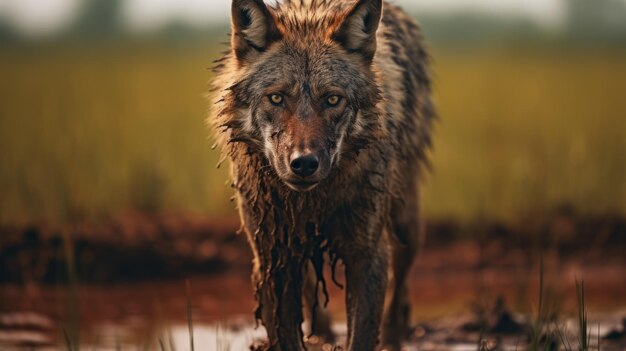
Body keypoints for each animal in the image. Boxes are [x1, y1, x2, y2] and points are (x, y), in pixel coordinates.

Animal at [207, 0, 432, 350]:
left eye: (333, 99)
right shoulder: (271, 256)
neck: (313, 202)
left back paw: (393, 335)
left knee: (401, 285)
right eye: (276, 98)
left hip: (405, 224)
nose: (304, 163)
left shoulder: (367, 253)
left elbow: (362, 334)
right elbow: (286, 332)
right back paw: (321, 331)